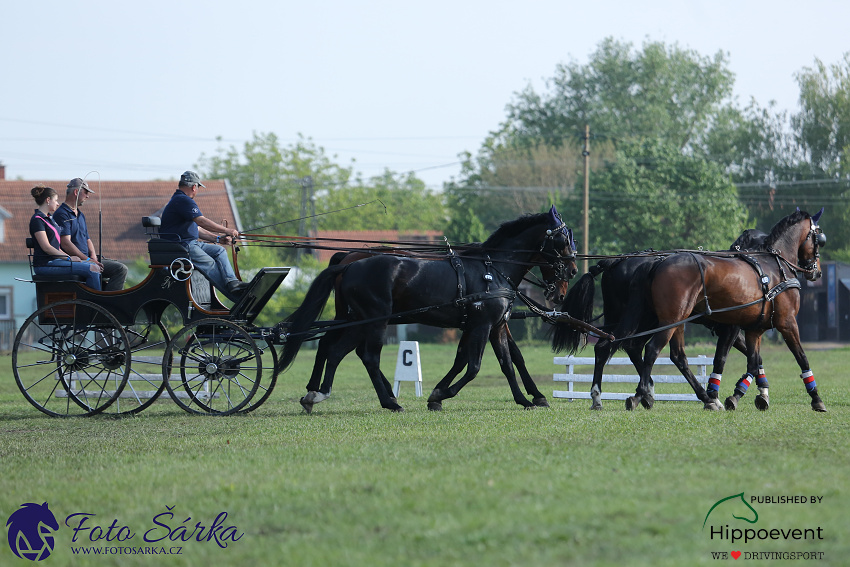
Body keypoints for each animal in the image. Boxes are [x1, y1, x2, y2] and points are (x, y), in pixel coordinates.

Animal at [278, 207, 576, 412]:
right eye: (562, 240)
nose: (572, 272)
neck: (493, 268)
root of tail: (349, 264)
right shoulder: (481, 325)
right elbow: (474, 366)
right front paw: (439, 395)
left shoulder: (495, 326)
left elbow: (506, 363)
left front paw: (525, 399)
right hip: (374, 320)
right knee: (366, 356)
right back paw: (388, 401)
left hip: (357, 320)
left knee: (335, 349)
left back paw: (317, 394)